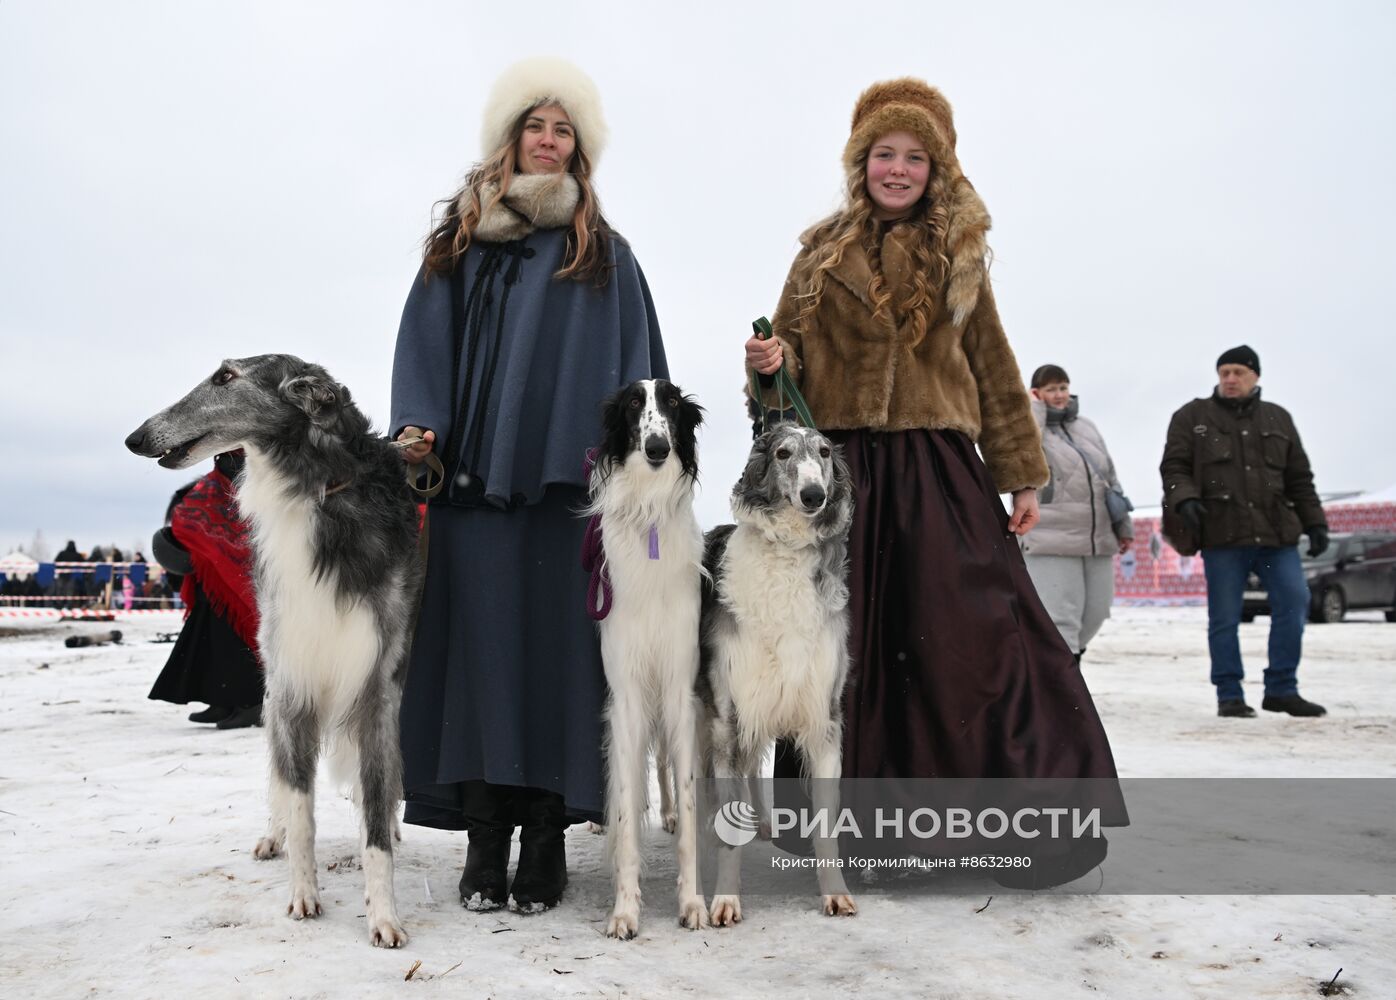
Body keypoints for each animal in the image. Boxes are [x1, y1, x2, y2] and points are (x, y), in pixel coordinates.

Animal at [125, 356, 418, 949]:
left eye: (225, 376)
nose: (136, 437)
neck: (317, 491)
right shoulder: (294, 683)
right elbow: (300, 806)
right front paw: (303, 894)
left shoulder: (376, 688)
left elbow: (375, 822)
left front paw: (384, 916)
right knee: (281, 780)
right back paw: (273, 836)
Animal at [695, 418, 854, 921]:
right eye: (783, 453)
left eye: (824, 452)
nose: (813, 495)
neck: (786, 553)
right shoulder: (729, 716)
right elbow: (727, 834)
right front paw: (725, 901)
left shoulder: (824, 719)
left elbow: (825, 826)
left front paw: (835, 893)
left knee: (751, 770)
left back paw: (762, 822)